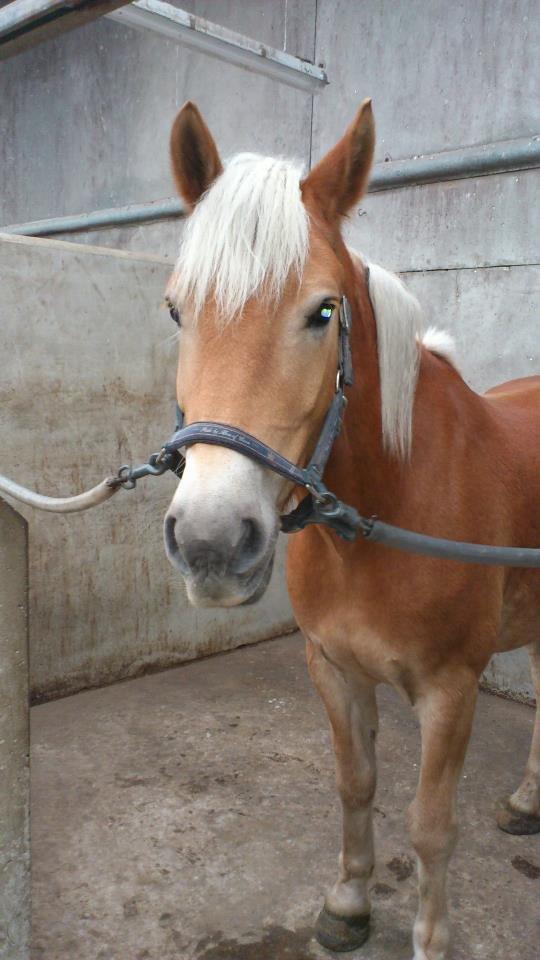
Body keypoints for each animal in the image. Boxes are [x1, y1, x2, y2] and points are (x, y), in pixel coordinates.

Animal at [161, 99, 540, 960]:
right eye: (175, 308)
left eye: (323, 312)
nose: (211, 543)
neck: (387, 515)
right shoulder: (333, 667)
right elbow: (355, 784)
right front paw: (348, 903)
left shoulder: (450, 691)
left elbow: (431, 827)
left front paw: (430, 939)